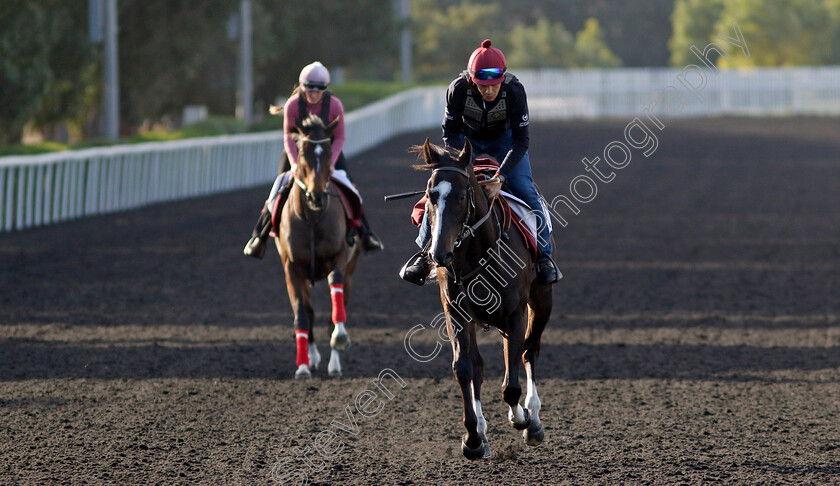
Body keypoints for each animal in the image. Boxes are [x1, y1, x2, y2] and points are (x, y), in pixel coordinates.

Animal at [278, 115, 360, 380]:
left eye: (328, 154)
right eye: (302, 153)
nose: (316, 197)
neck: (312, 219)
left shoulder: (340, 256)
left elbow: (336, 290)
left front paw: (340, 338)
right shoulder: (291, 268)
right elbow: (302, 315)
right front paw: (303, 366)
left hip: (352, 268)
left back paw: (334, 362)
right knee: (309, 311)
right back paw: (312, 358)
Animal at [412, 138, 552, 460]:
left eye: (463, 195)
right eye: (429, 195)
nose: (439, 253)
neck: (478, 254)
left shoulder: (514, 313)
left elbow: (512, 379)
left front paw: (521, 417)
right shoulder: (455, 313)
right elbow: (464, 367)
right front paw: (473, 438)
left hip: (541, 301)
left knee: (529, 351)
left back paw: (533, 420)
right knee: (479, 364)